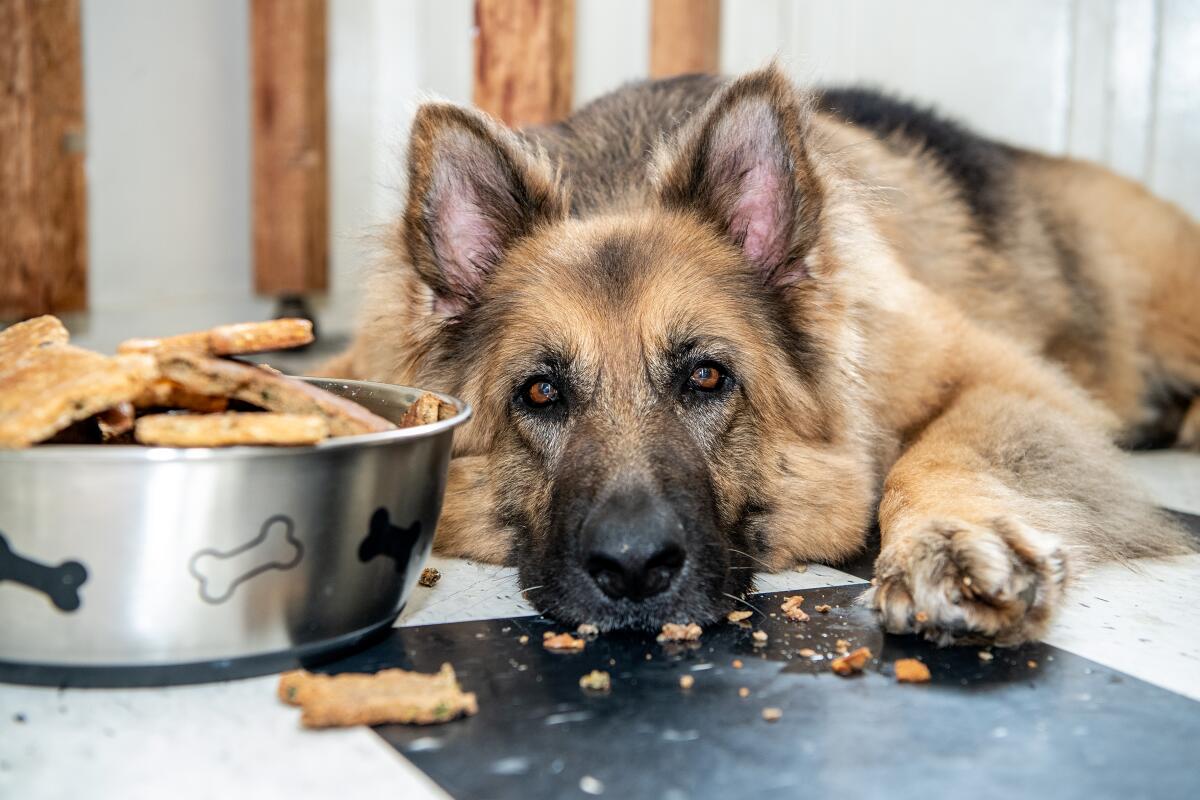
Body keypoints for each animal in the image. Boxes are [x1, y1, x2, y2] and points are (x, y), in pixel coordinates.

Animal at [328, 65, 1200, 647]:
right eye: (541, 393)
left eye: (707, 377)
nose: (634, 570)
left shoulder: (1006, 378)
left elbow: (946, 449)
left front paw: (948, 538)